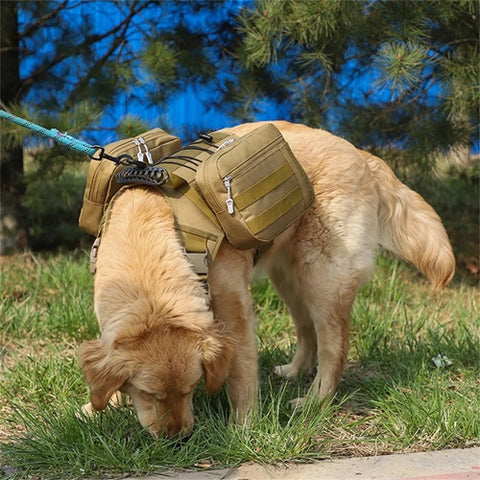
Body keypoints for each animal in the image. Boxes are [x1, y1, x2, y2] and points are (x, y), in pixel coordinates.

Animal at [78, 121, 454, 438]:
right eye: (148, 394)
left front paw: (242, 425)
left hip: (322, 277)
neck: (152, 236)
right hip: (288, 278)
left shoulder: (234, 306)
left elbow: (241, 371)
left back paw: (315, 401)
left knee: (334, 347)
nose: (178, 438)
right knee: (307, 331)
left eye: (190, 388)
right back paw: (294, 371)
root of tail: (361, 154)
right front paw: (101, 405)